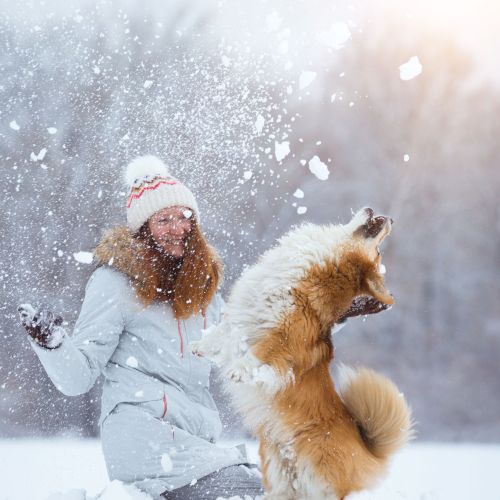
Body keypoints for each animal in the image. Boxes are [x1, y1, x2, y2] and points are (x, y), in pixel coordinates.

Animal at [189, 208, 412, 500]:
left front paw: (238, 370)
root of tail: (370, 452)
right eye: (379, 253)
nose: (391, 219)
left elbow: (260, 354)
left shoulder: (285, 336)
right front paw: (198, 347)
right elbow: (221, 334)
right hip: (279, 480)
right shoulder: (243, 316)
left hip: (327, 483)